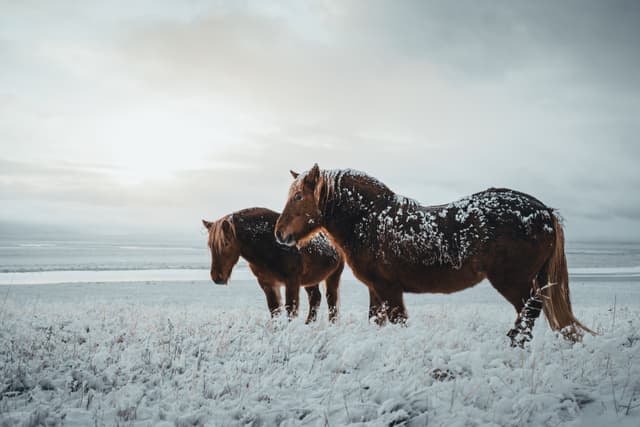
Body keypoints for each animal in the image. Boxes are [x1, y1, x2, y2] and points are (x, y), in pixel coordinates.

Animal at [202, 207, 344, 323]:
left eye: (226, 243)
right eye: (209, 245)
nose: (217, 277)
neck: (271, 245)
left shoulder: (292, 282)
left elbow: (290, 311)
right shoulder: (268, 283)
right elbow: (274, 310)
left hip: (333, 276)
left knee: (331, 301)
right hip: (311, 279)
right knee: (315, 298)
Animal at [275, 164, 594, 346]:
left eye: (299, 196)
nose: (279, 234)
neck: (371, 220)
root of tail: (544, 211)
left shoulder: (389, 289)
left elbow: (398, 322)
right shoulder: (376, 290)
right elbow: (376, 322)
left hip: (512, 281)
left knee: (529, 310)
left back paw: (515, 345)